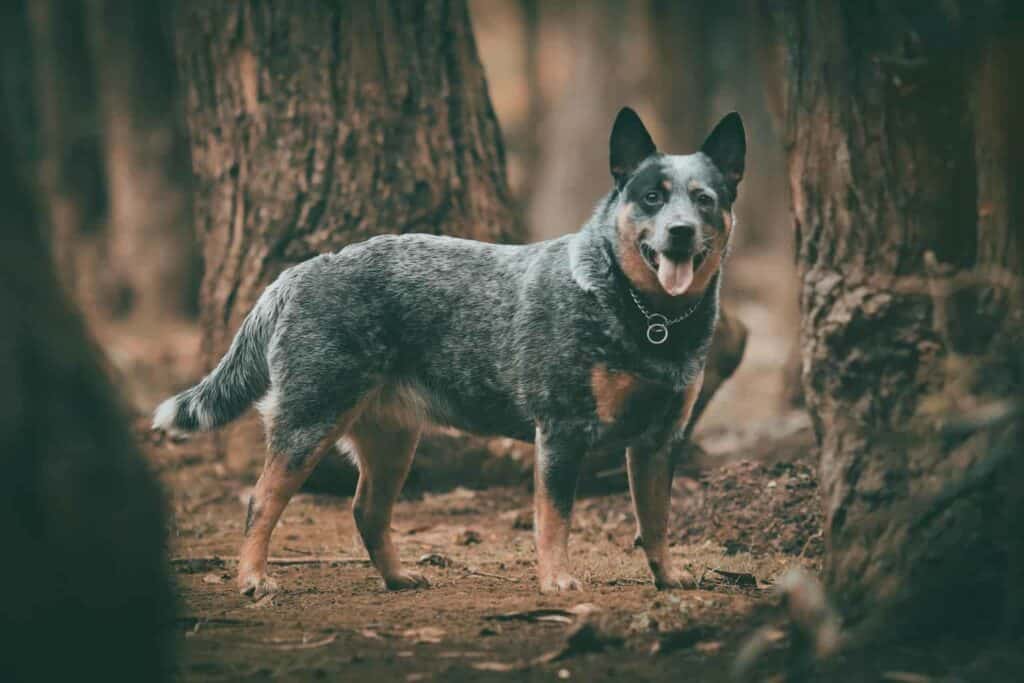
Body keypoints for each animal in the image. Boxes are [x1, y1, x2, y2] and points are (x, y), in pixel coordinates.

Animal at [151, 109, 745, 593]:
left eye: (704, 199)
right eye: (652, 196)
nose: (680, 231)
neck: (649, 319)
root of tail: (300, 271)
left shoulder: (659, 441)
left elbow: (656, 522)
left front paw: (668, 578)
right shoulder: (562, 429)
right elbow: (554, 519)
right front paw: (557, 582)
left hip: (392, 437)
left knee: (368, 510)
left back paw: (398, 578)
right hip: (309, 420)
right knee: (262, 501)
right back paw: (253, 579)